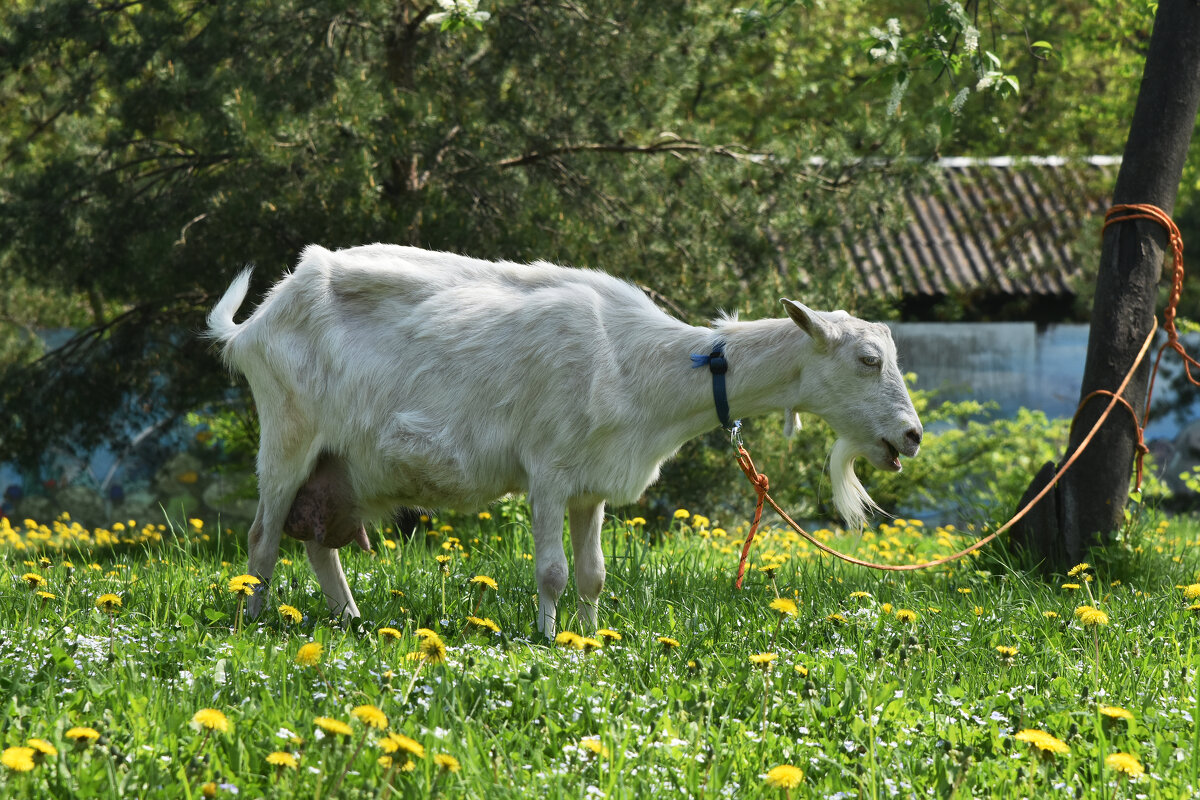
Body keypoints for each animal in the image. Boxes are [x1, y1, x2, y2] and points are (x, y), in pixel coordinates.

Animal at [206, 244, 921, 638]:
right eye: (867, 359)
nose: (911, 436)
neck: (637, 363)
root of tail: (254, 323)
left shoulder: (591, 485)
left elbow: (593, 574)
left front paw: (591, 636)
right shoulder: (548, 471)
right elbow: (550, 570)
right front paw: (548, 641)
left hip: (342, 466)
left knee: (320, 545)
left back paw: (352, 621)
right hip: (287, 437)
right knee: (263, 537)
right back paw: (254, 621)